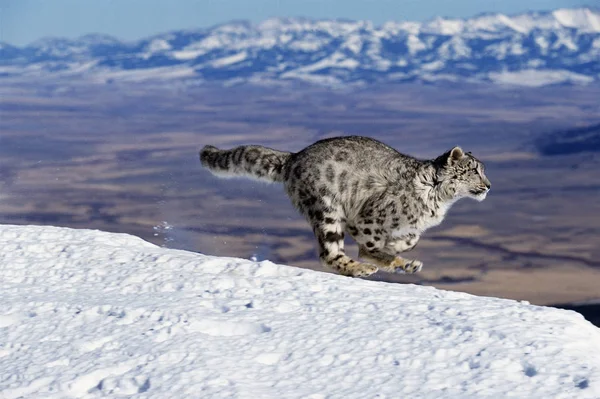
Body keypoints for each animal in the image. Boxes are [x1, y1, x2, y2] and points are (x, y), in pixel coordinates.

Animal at [199, 137, 490, 278]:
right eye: (475, 170)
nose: (488, 186)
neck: (440, 200)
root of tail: (295, 157)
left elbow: (412, 239)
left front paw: (400, 253)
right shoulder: (364, 219)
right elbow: (370, 245)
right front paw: (386, 256)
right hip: (327, 210)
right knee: (329, 254)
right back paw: (361, 268)